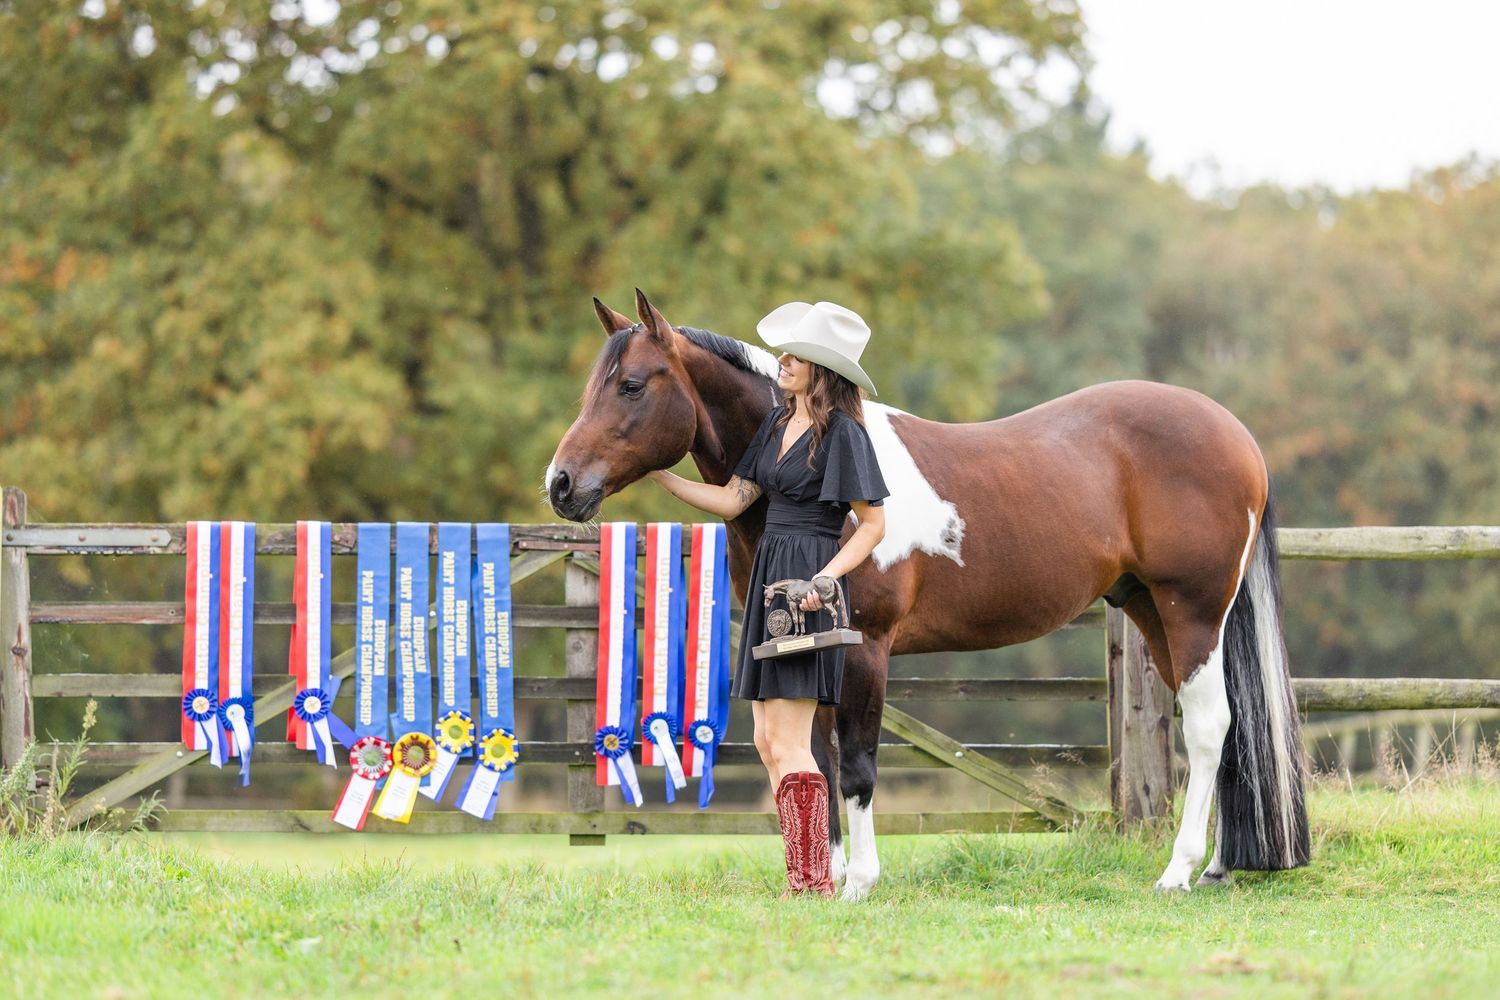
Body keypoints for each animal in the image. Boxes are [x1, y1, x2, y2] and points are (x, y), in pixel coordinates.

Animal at [545, 289, 1309, 900]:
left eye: (632, 386)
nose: (561, 484)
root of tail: (1238, 436)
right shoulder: (809, 651)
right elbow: (817, 758)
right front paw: (825, 878)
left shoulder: (864, 649)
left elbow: (855, 765)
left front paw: (859, 883)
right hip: (1150, 607)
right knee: (1225, 726)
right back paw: (1217, 868)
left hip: (1193, 610)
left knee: (1209, 726)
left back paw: (1179, 872)